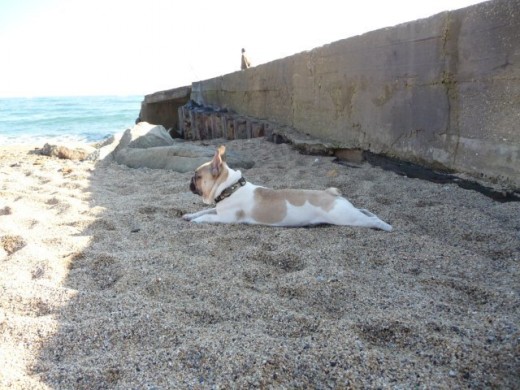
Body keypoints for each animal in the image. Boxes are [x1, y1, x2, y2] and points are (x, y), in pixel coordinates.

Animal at [185, 146, 392, 232]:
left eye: (197, 176)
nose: (189, 181)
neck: (231, 187)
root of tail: (332, 194)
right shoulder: (218, 210)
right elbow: (204, 210)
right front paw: (189, 215)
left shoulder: (225, 218)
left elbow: (207, 217)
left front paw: (196, 221)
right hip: (349, 212)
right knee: (366, 211)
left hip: (345, 217)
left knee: (370, 220)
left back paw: (386, 226)